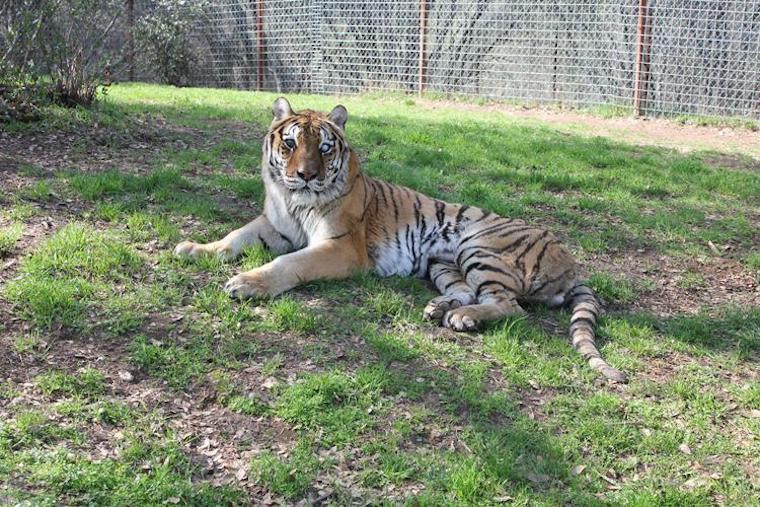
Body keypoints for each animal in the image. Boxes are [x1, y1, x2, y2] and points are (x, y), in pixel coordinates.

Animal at [174, 97, 627, 382]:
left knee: (509, 305)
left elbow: (290, 264)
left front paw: (246, 283)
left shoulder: (341, 247)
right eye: (290, 143)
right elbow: (234, 237)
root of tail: (571, 261)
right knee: (469, 292)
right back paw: (438, 307)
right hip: (445, 263)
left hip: (480, 246)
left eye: (324, 148)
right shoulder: (274, 225)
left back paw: (463, 318)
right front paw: (194, 249)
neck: (294, 200)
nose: (305, 175)